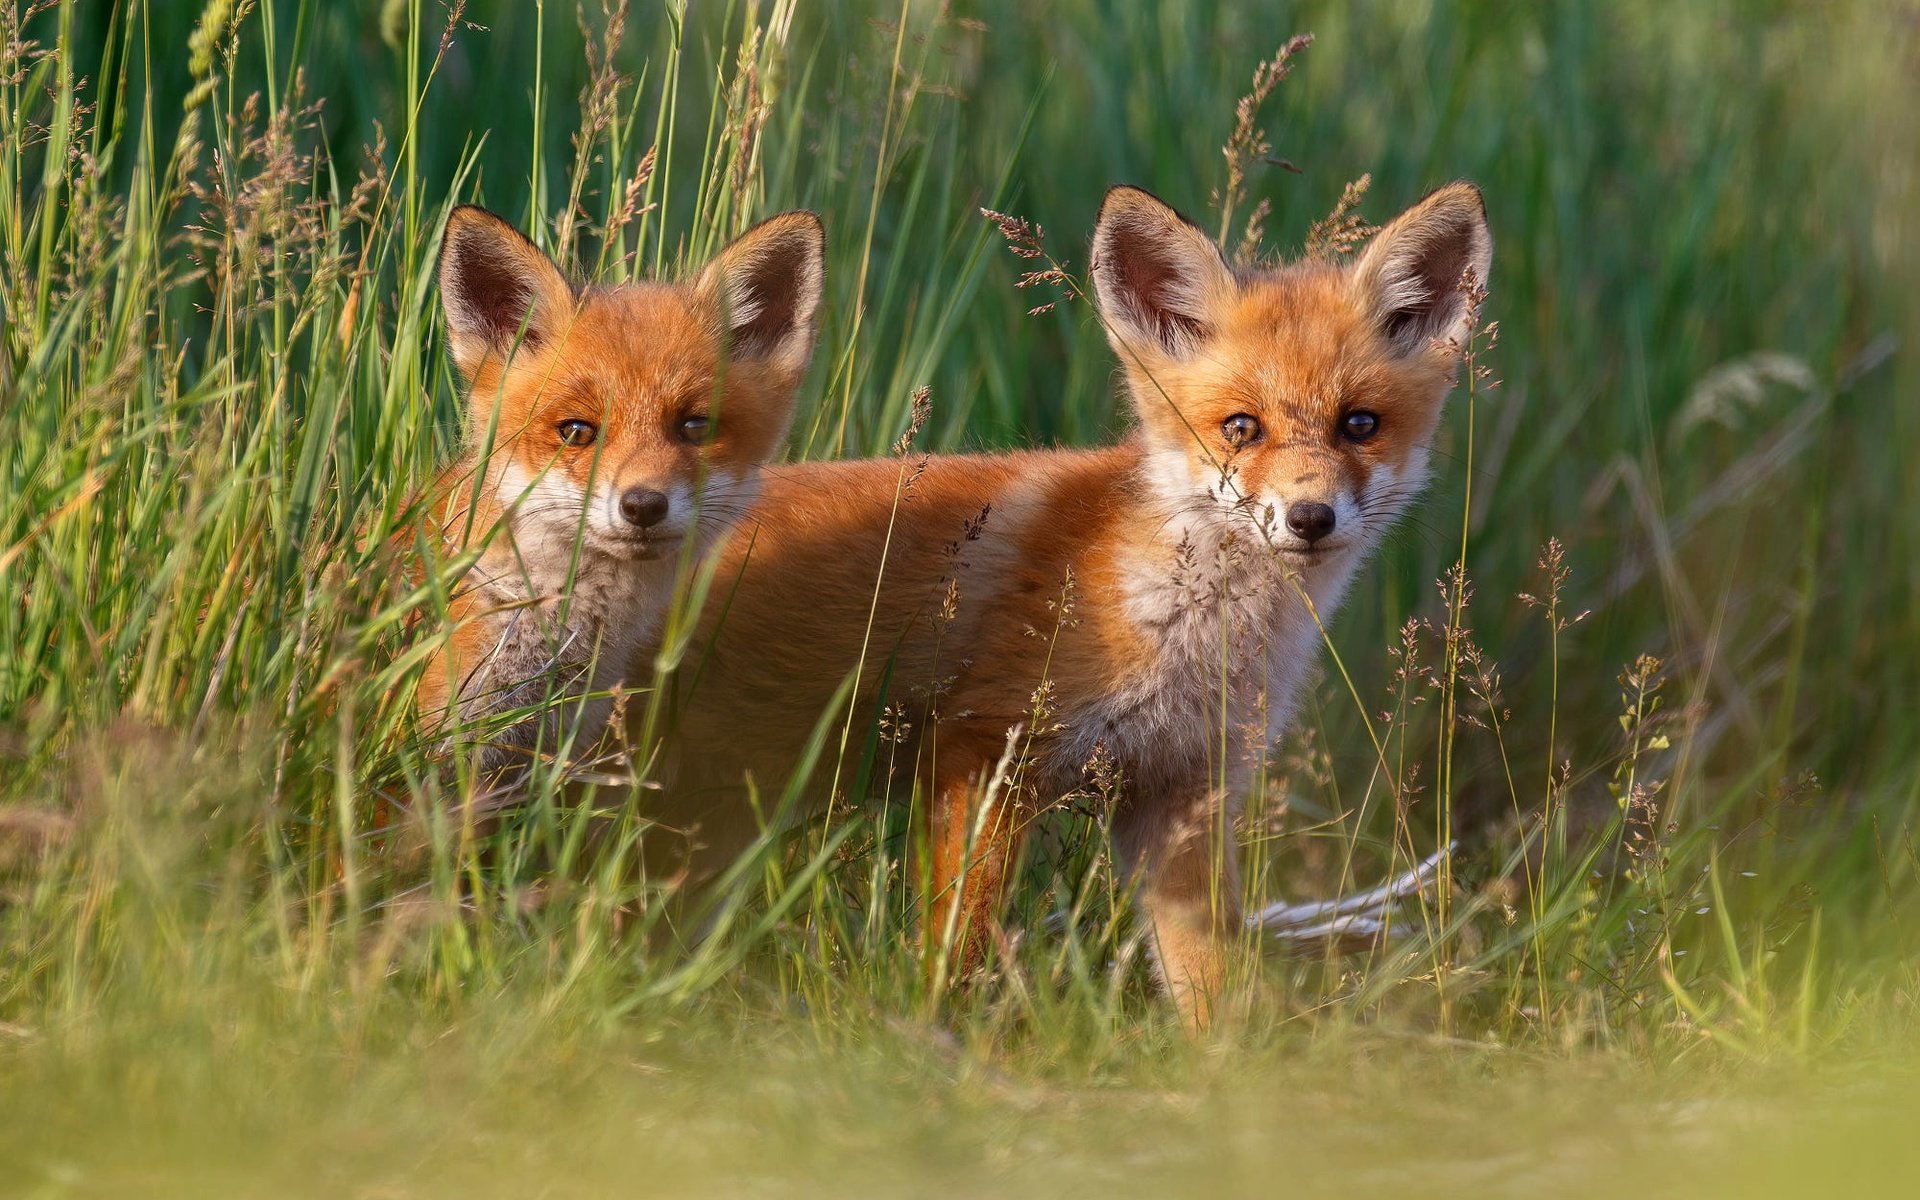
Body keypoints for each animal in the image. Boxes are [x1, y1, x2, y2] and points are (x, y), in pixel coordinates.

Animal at [637, 182, 1489, 1021]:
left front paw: (1225, 1059)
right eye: (1241, 427)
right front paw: (940, 1037)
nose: (1310, 518)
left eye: (1360, 424)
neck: (1177, 629)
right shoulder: (982, 756)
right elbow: (956, 951)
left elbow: (1209, 983)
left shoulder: (1181, 792)